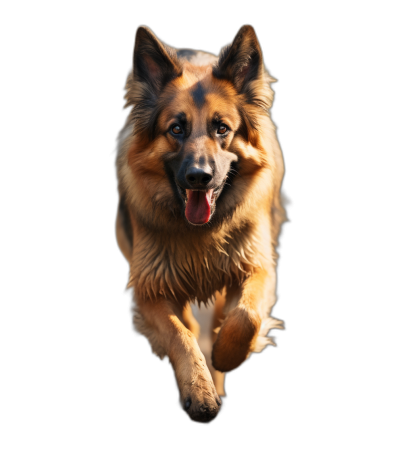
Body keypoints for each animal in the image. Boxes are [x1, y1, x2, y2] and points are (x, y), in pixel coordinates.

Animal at [114, 23, 286, 424]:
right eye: (176, 129)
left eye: (222, 129)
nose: (199, 177)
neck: (200, 234)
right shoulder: (150, 288)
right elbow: (180, 335)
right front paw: (198, 391)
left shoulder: (256, 267)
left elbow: (246, 316)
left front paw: (226, 356)